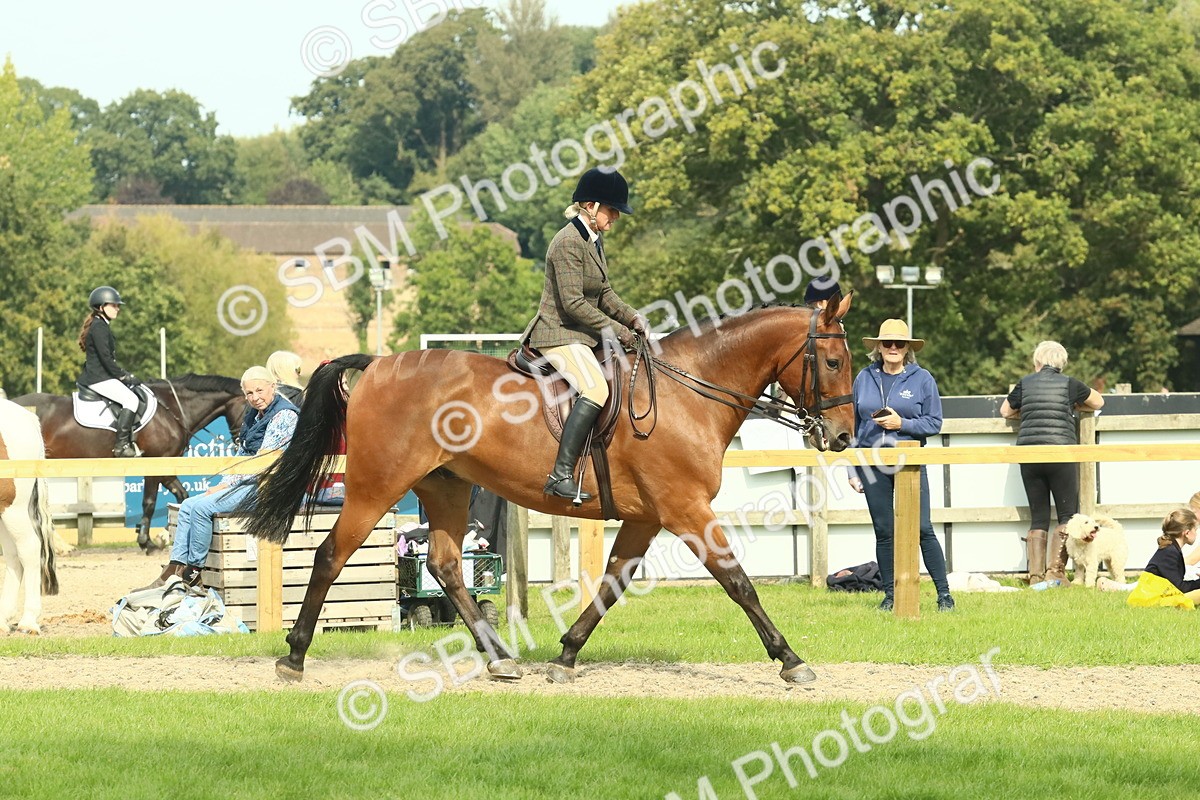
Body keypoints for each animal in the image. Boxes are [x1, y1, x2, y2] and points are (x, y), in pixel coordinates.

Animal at [12, 374, 246, 553]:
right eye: (248, 409)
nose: (239, 442)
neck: (172, 409)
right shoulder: (155, 463)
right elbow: (149, 503)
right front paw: (147, 542)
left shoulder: (166, 465)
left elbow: (181, 496)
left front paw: (163, 536)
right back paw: (60, 547)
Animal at [246, 295, 856, 684]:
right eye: (832, 361)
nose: (845, 437)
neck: (689, 394)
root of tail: (375, 365)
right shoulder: (685, 509)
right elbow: (739, 583)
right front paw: (791, 660)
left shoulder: (647, 517)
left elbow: (612, 585)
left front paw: (567, 656)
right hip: (378, 486)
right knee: (330, 555)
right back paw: (294, 658)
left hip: (445, 486)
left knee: (445, 565)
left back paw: (499, 659)